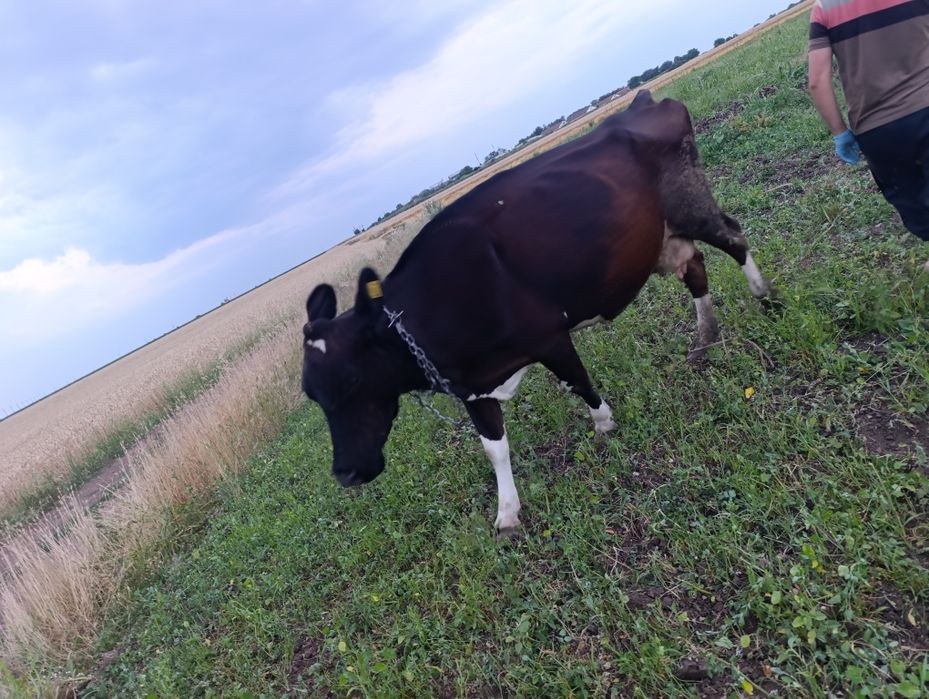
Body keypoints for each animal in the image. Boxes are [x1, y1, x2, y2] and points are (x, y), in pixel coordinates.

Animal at [301, 90, 773, 534]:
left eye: (352, 379)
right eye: (311, 393)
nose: (345, 473)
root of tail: (643, 102)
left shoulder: (548, 336)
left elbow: (578, 384)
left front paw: (604, 428)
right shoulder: (470, 383)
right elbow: (493, 446)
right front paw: (507, 514)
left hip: (690, 202)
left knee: (734, 238)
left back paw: (766, 297)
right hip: (663, 236)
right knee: (694, 269)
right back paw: (704, 341)